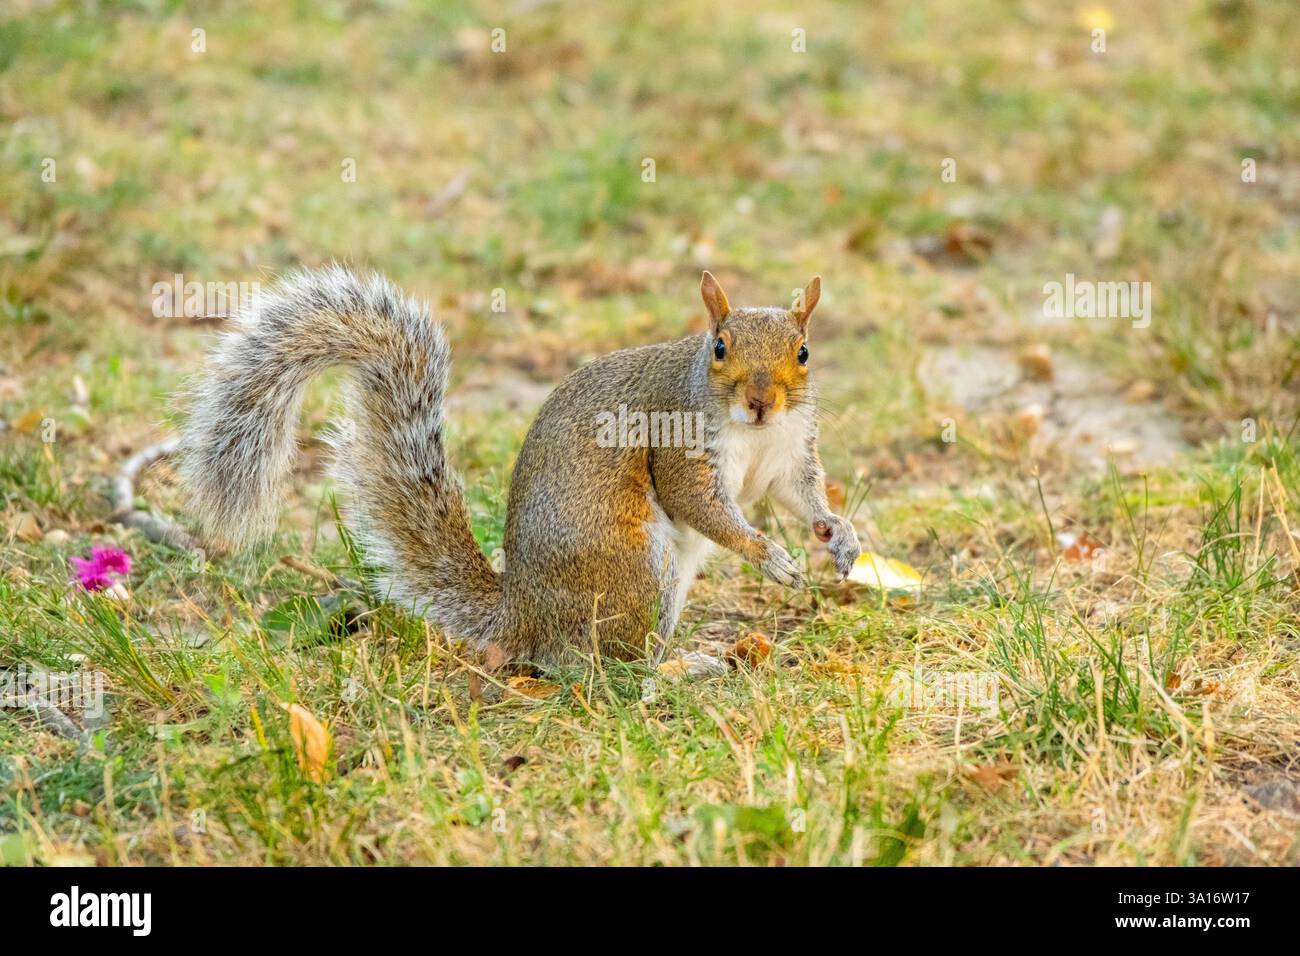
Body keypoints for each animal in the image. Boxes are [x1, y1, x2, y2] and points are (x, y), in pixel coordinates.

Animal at [180, 265, 860, 667]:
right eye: (719, 348)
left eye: (803, 352)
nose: (761, 401)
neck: (756, 433)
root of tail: (522, 619)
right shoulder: (679, 445)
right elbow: (704, 506)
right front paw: (771, 556)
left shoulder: (789, 451)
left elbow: (800, 491)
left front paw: (839, 535)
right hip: (636, 568)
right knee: (608, 663)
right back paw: (676, 667)